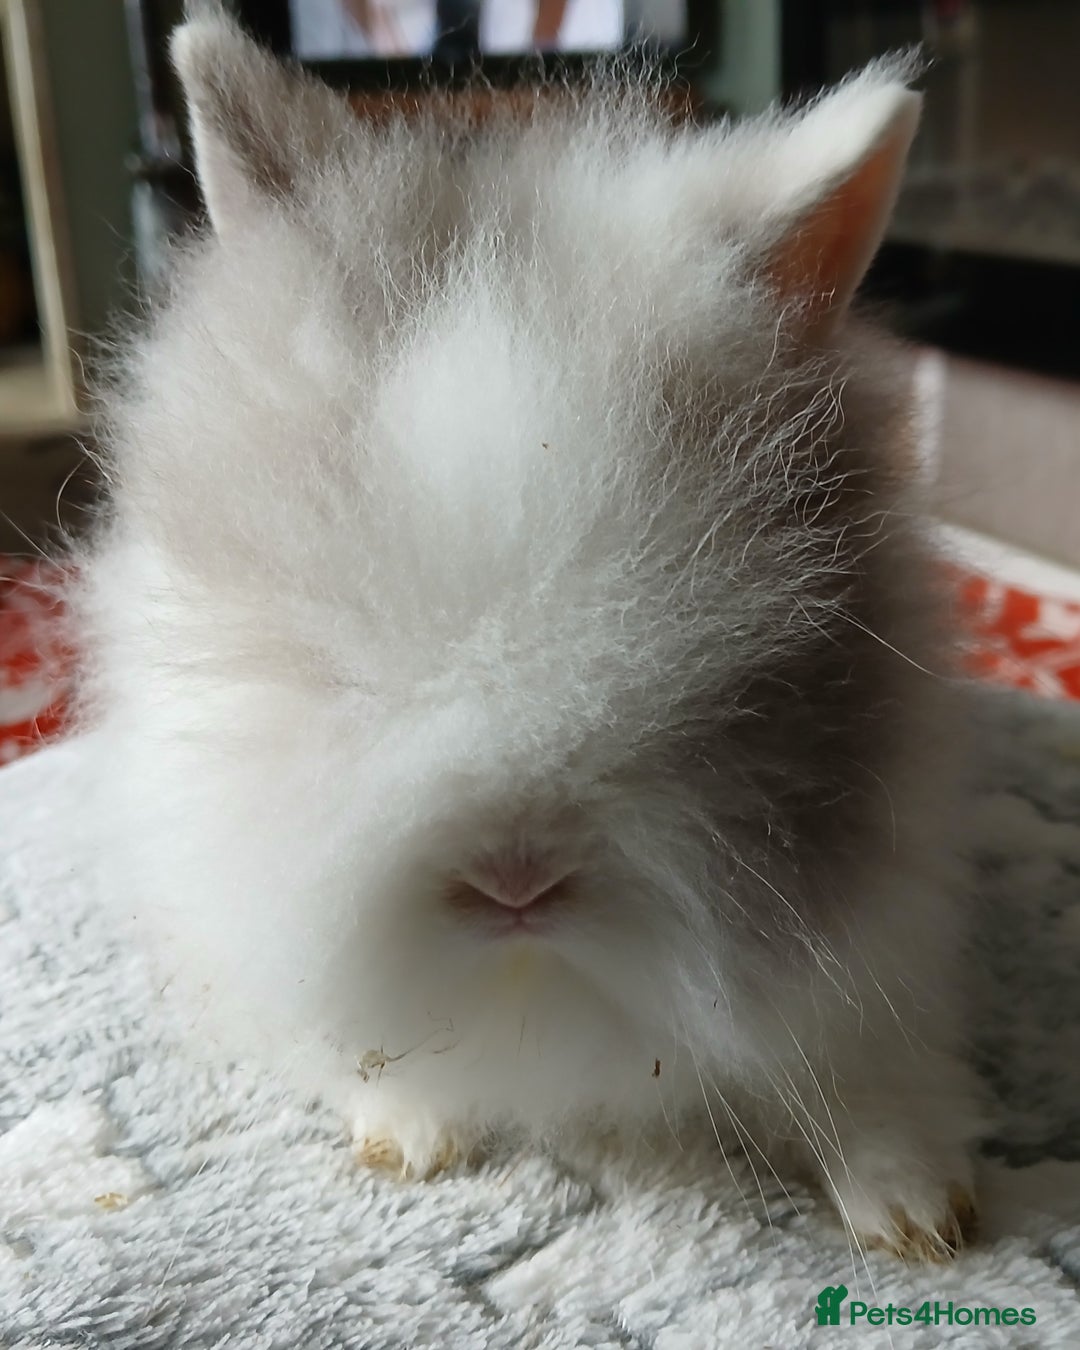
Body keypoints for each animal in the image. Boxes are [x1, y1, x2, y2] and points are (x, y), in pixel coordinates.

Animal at [73, 4, 982, 1261]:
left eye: (743, 681)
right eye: (328, 663)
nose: (513, 882)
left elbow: (867, 1068)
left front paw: (918, 1214)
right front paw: (410, 1135)